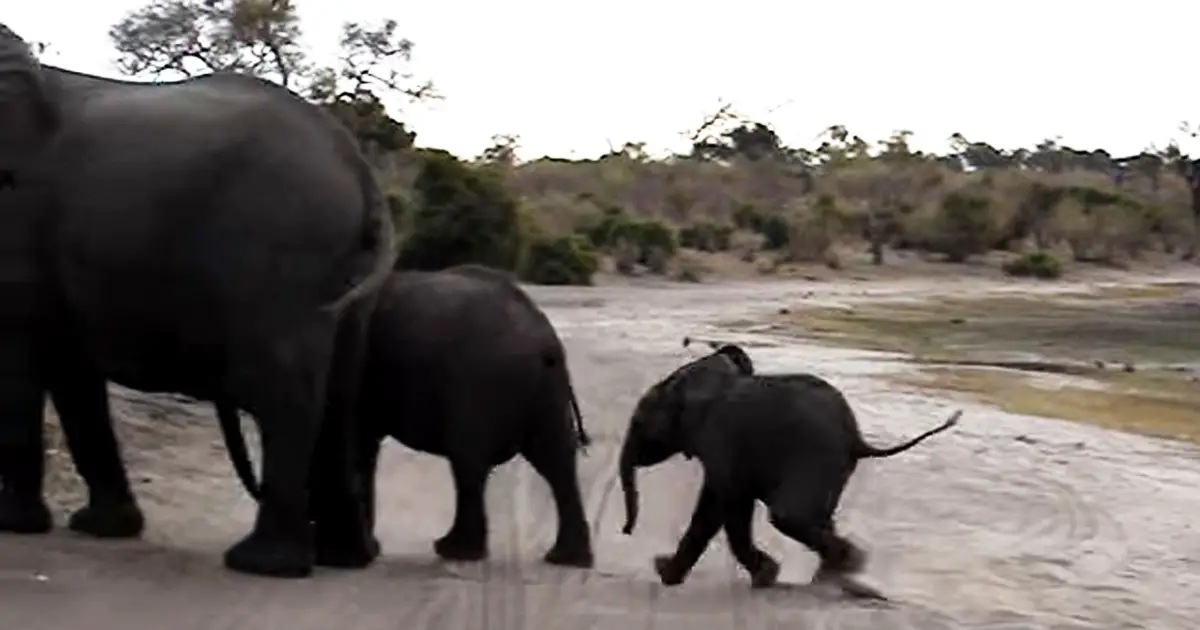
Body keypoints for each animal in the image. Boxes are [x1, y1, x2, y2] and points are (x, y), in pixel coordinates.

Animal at [0, 24, 398, 578]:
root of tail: (360, 171)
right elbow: (71, 372)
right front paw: (103, 529)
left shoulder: (17, 213)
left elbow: (20, 355)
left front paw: (13, 525)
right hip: (343, 279)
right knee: (342, 397)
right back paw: (345, 558)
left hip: (281, 245)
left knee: (286, 393)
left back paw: (263, 563)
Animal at [224, 262, 595, 566]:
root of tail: (546, 341)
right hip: (542, 390)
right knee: (557, 462)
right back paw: (566, 558)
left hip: (481, 383)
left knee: (469, 462)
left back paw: (454, 551)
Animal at [614, 340, 960, 592]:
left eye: (640, 420)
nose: (626, 531)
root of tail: (858, 439)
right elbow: (727, 508)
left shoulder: (721, 440)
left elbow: (721, 505)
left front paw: (664, 572)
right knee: (815, 517)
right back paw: (833, 575)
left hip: (815, 458)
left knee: (788, 516)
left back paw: (849, 567)